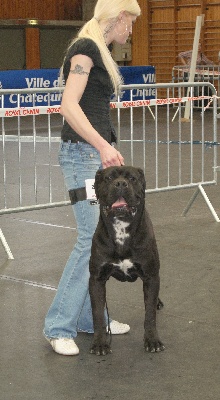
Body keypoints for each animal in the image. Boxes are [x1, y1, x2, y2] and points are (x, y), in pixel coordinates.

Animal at [88, 166, 164, 356]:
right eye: (108, 178)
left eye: (132, 178)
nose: (121, 183)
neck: (121, 229)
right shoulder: (96, 279)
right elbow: (98, 314)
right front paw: (100, 343)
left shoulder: (151, 276)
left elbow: (150, 315)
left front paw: (152, 340)